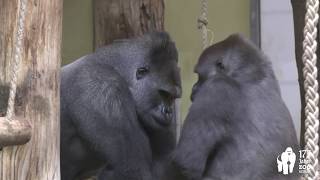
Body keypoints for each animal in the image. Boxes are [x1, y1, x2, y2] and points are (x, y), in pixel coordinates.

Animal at [59, 31, 180, 179]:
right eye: (163, 94)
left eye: (172, 97)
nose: (168, 111)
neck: (115, 67)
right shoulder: (104, 89)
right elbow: (130, 169)